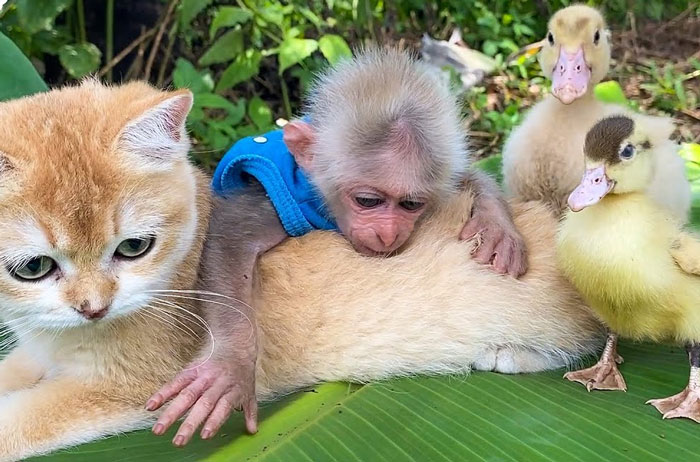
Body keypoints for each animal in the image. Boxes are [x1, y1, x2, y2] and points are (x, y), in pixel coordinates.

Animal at [145, 46, 528, 446]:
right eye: (368, 201)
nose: (389, 233)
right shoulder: (281, 200)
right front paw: (232, 363)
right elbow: (229, 238)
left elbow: (465, 175)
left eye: (410, 205)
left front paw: (496, 222)